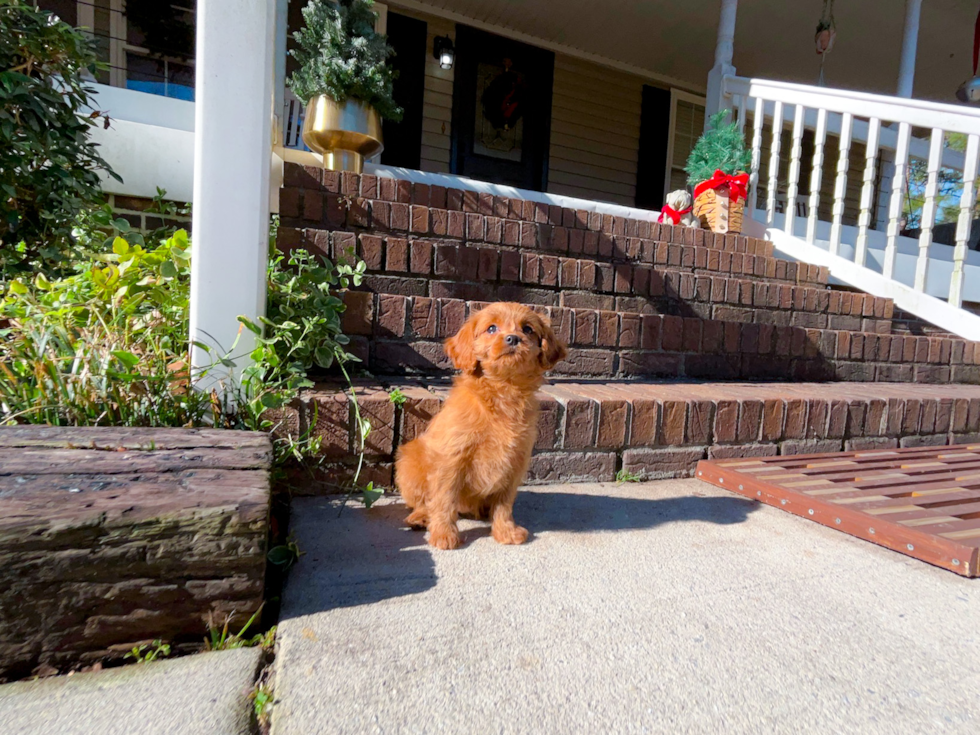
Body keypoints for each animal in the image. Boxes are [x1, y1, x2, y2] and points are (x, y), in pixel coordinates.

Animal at [394, 302, 568, 548]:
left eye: (528, 329)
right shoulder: (452, 458)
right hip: (409, 462)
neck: (503, 390)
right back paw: (420, 517)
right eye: (492, 328)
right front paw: (444, 534)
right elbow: (444, 499)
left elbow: (504, 503)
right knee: (424, 502)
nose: (513, 338)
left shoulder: (515, 461)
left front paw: (505, 531)